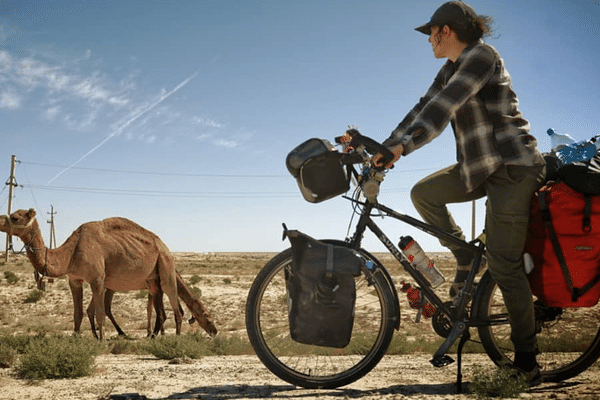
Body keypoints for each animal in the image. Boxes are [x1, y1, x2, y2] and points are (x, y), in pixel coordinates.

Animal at [0, 208, 185, 340]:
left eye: (15, 217)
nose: (0, 220)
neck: (71, 252)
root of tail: (164, 246)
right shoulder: (74, 279)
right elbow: (78, 313)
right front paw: (75, 338)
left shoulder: (97, 279)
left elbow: (100, 313)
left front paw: (101, 340)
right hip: (152, 279)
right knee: (161, 306)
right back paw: (154, 336)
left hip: (166, 264)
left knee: (175, 302)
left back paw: (176, 338)